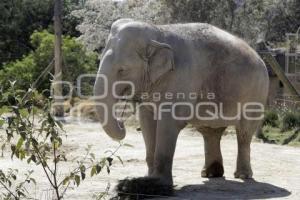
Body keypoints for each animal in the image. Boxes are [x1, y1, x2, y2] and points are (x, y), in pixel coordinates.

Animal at [94, 18, 270, 195]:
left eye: (122, 70)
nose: (122, 123)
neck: (158, 32)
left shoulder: (182, 78)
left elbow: (169, 124)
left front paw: (156, 184)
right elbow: (146, 122)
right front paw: (145, 179)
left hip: (256, 93)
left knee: (244, 132)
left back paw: (242, 175)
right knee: (210, 132)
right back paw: (210, 174)